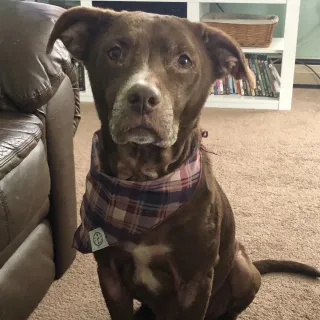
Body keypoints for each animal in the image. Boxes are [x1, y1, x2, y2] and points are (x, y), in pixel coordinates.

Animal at [47, 6, 320, 318]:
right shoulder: (109, 274)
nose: (142, 96)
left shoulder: (195, 282)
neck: (145, 184)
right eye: (114, 52)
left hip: (243, 269)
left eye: (184, 60)